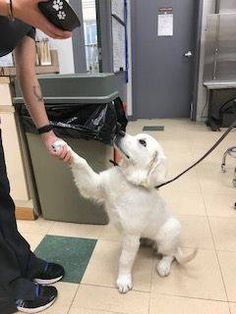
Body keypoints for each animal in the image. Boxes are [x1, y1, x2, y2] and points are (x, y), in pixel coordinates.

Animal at [66, 133, 195, 294]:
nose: (119, 131)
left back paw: (163, 266)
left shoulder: (131, 235)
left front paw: (123, 280)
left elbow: (125, 260)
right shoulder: (94, 185)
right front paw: (63, 147)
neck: (128, 181)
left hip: (168, 234)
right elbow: (82, 163)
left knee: (171, 254)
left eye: (142, 142)